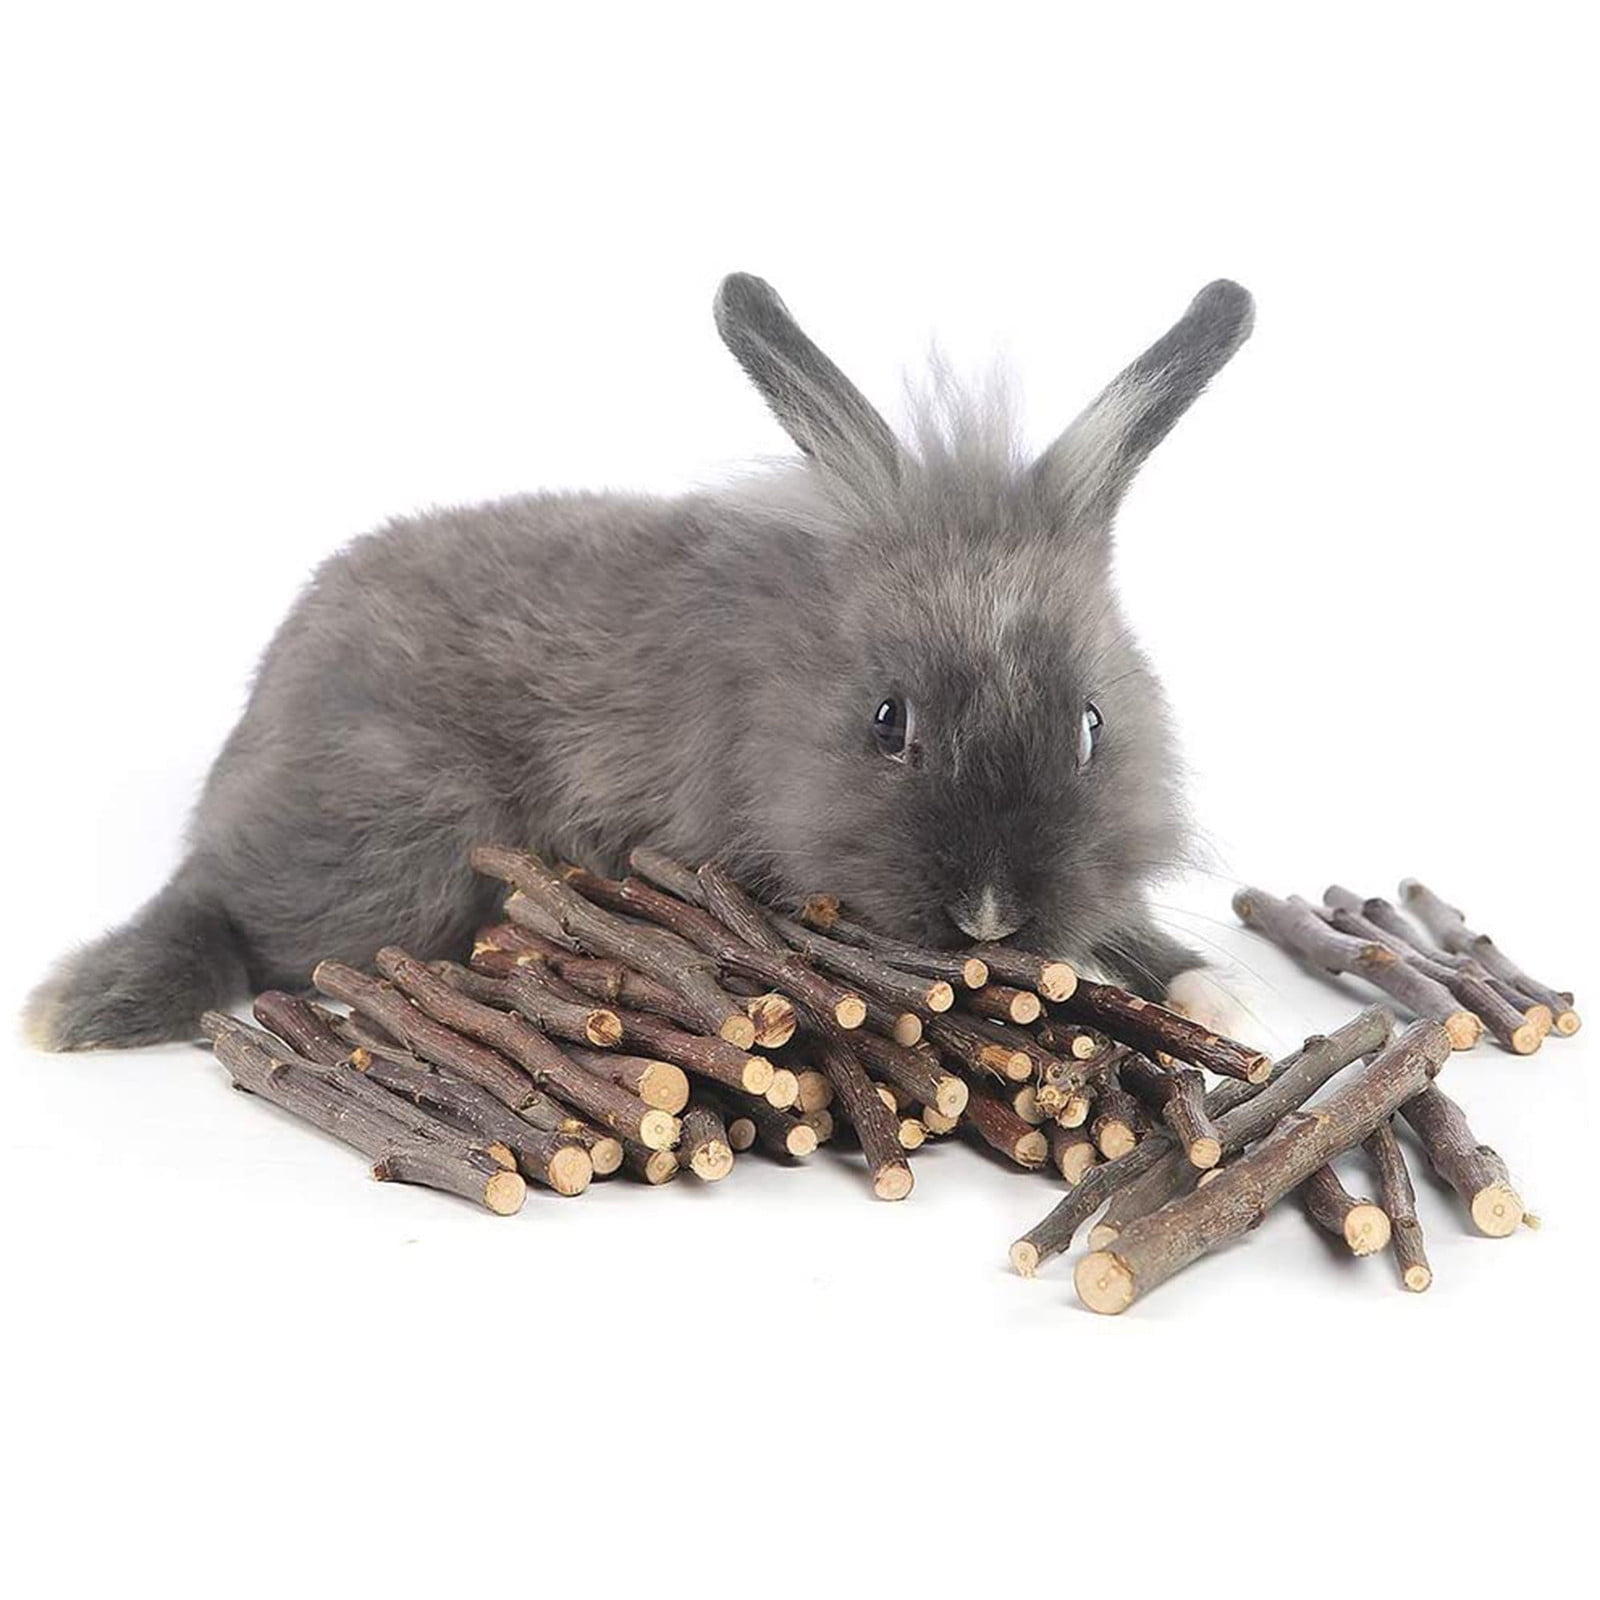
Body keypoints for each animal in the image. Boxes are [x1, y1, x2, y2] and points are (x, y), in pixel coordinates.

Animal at [24, 272, 1254, 1052]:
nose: (992, 917)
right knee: (223, 901)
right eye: (888, 722)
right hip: (389, 847)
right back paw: (87, 1001)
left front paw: (1221, 994)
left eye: (1092, 725)